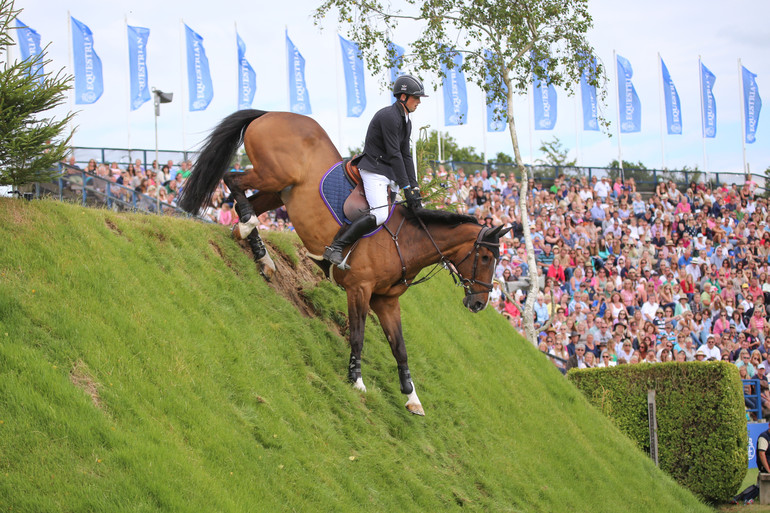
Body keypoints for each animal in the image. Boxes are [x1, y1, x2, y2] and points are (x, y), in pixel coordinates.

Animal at [177, 110, 508, 414]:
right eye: (486, 257)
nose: (480, 303)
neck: (406, 241)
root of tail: (270, 113)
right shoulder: (359, 289)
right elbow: (358, 335)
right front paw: (357, 381)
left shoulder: (386, 301)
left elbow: (400, 348)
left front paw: (412, 396)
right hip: (273, 174)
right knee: (233, 181)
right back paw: (248, 225)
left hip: (280, 191)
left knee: (244, 204)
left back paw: (258, 249)